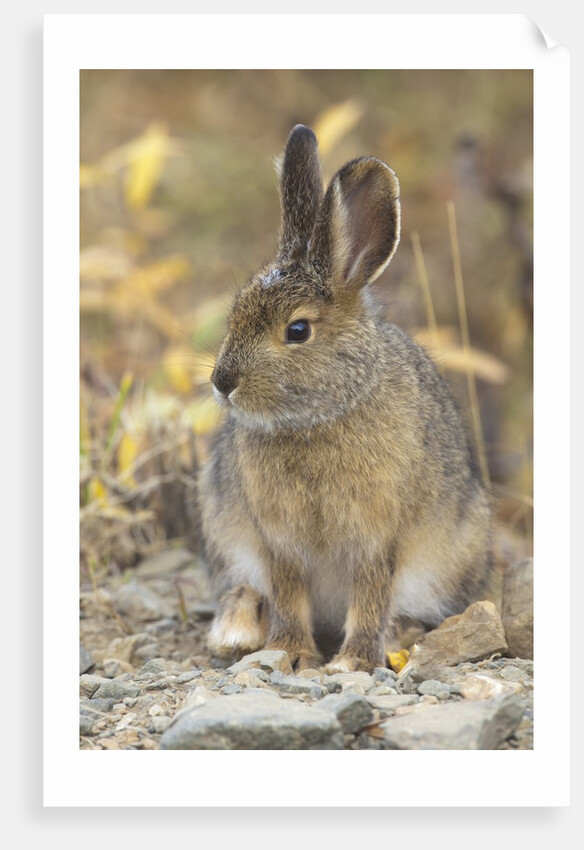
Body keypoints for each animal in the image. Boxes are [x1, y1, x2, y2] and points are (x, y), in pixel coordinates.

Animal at [198, 124, 492, 673]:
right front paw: (290, 653)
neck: (319, 418)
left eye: (297, 330)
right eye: (236, 311)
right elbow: (288, 593)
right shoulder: (279, 542)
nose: (223, 381)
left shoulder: (376, 539)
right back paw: (235, 633)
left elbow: (372, 596)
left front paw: (352, 662)